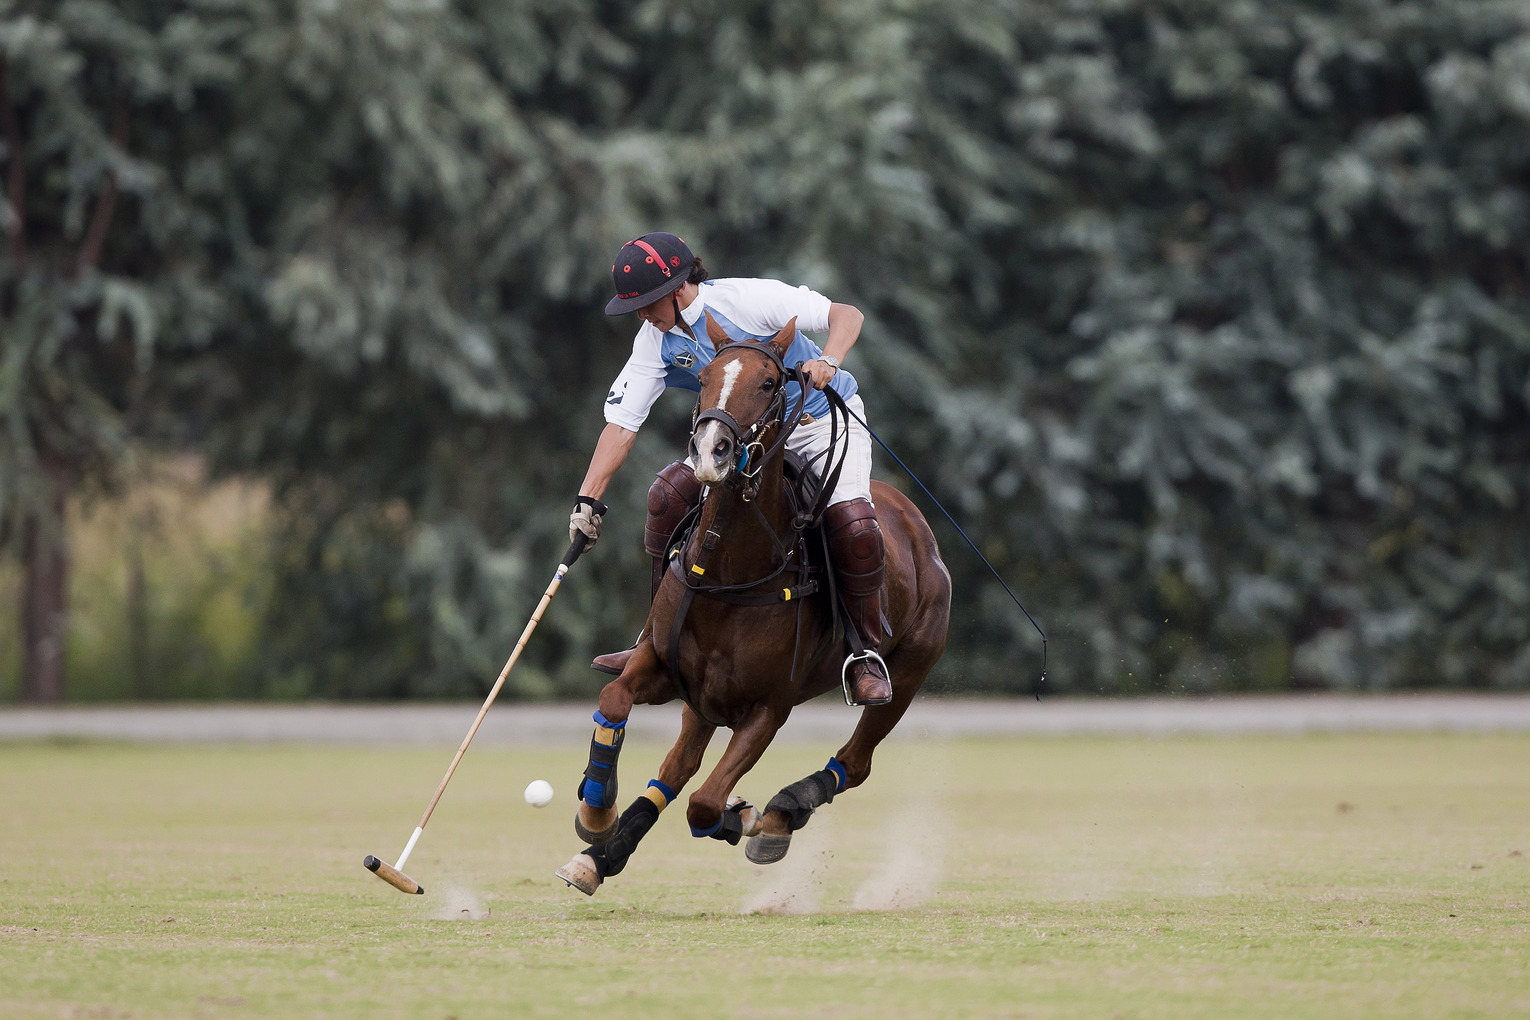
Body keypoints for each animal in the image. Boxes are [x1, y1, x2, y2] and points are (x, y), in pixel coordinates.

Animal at [556, 311, 948, 893]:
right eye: (702, 378)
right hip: (702, 700)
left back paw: (784, 811)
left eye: (768, 383)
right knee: (676, 767)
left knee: (855, 762)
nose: (711, 451)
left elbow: (703, 803)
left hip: (911, 668)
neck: (726, 572)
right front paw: (596, 813)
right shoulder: (666, 670)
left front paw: (745, 816)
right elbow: (614, 701)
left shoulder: (769, 708)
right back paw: (601, 856)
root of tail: (916, 522)